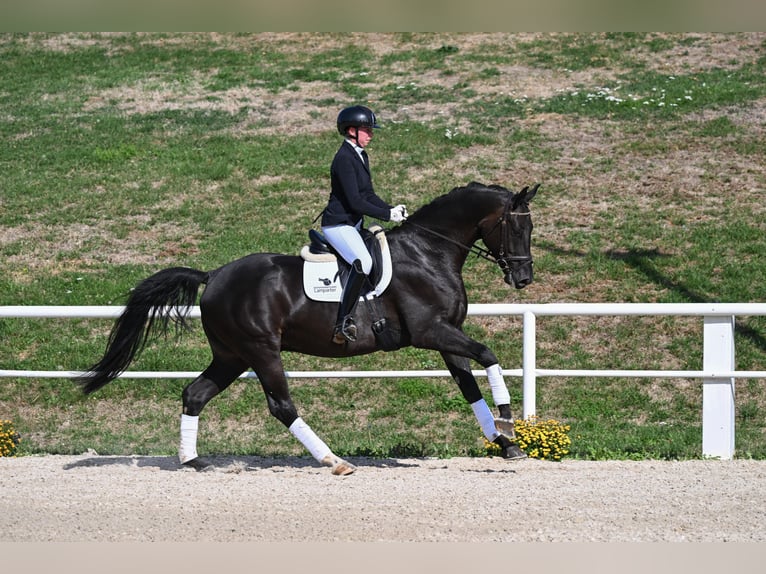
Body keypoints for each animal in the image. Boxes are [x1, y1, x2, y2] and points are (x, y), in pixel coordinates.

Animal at [75, 181, 539, 475]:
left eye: (530, 227)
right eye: (516, 225)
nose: (523, 279)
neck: (429, 252)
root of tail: (214, 275)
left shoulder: (445, 335)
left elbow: (470, 386)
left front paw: (505, 441)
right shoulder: (430, 332)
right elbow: (489, 356)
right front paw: (508, 421)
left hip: (231, 355)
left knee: (195, 394)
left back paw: (192, 461)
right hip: (261, 350)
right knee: (281, 405)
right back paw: (334, 461)